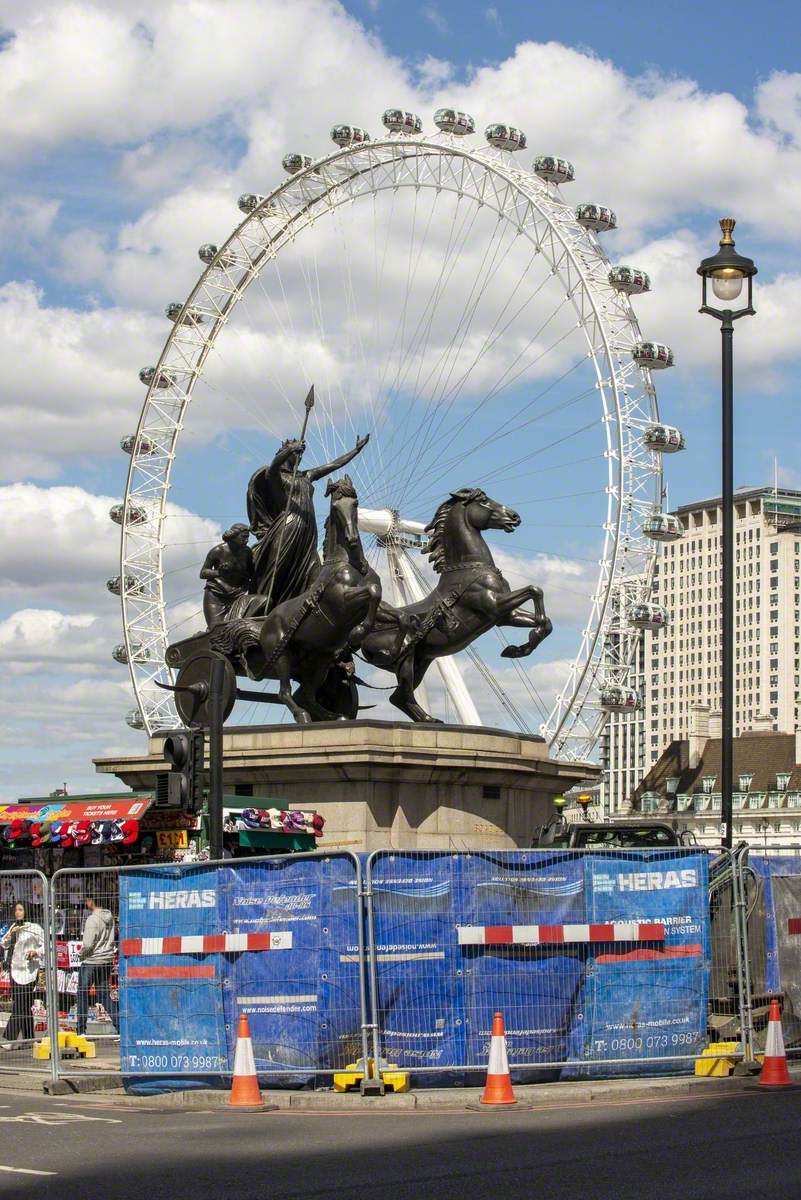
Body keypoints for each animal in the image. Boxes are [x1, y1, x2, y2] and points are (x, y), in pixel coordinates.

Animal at [357, 487, 551, 720]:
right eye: (484, 500)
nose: (515, 517)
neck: (470, 567)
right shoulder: (494, 605)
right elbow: (534, 590)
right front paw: (518, 647)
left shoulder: (504, 616)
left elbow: (544, 617)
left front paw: (518, 649)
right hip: (406, 659)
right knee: (401, 695)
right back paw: (427, 720)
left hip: (421, 661)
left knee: (399, 697)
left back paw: (429, 720)